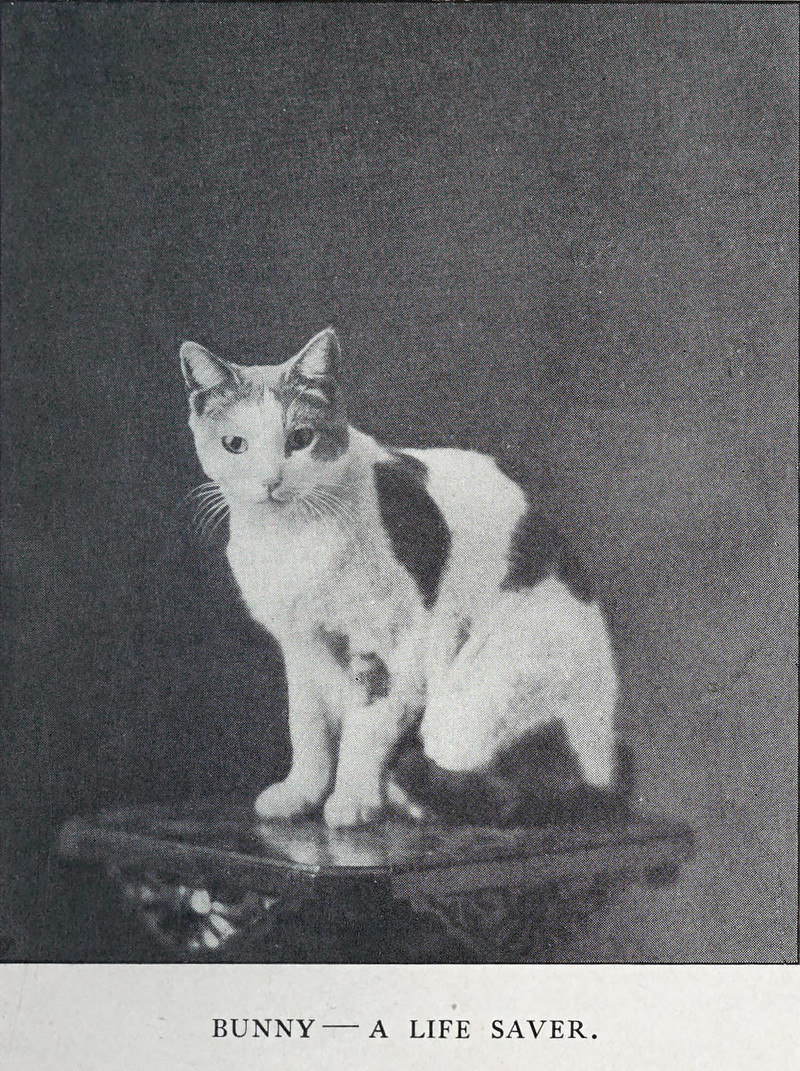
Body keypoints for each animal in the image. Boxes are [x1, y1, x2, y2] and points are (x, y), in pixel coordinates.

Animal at [181, 327, 622, 829]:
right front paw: (301, 794)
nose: (271, 480)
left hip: (483, 684)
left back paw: (407, 796)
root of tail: (609, 769)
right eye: (235, 444)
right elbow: (307, 728)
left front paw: (352, 800)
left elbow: (365, 729)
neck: (290, 539)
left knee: (494, 781)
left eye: (301, 438)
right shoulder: (301, 647)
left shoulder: (396, 643)